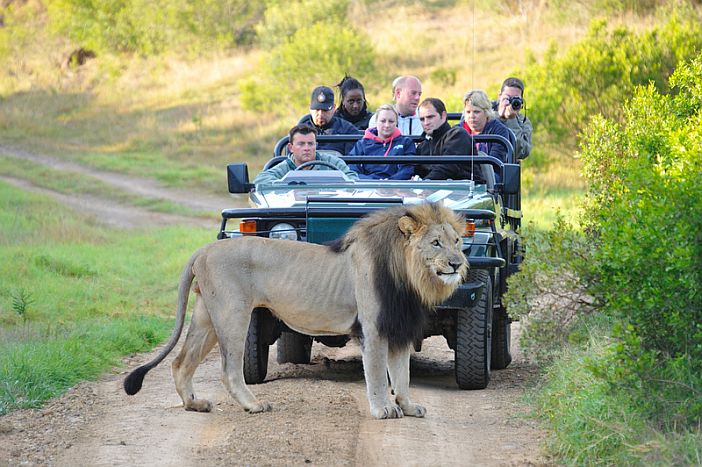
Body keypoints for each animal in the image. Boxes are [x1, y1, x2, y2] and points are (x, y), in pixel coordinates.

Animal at [124, 204, 470, 420]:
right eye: (436, 243)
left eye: (458, 241)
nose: (457, 264)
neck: (410, 276)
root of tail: (205, 248)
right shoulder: (373, 328)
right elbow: (376, 373)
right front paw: (383, 410)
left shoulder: (398, 328)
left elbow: (402, 374)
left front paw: (409, 407)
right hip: (233, 313)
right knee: (229, 369)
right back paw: (254, 405)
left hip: (207, 316)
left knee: (181, 362)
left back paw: (194, 404)